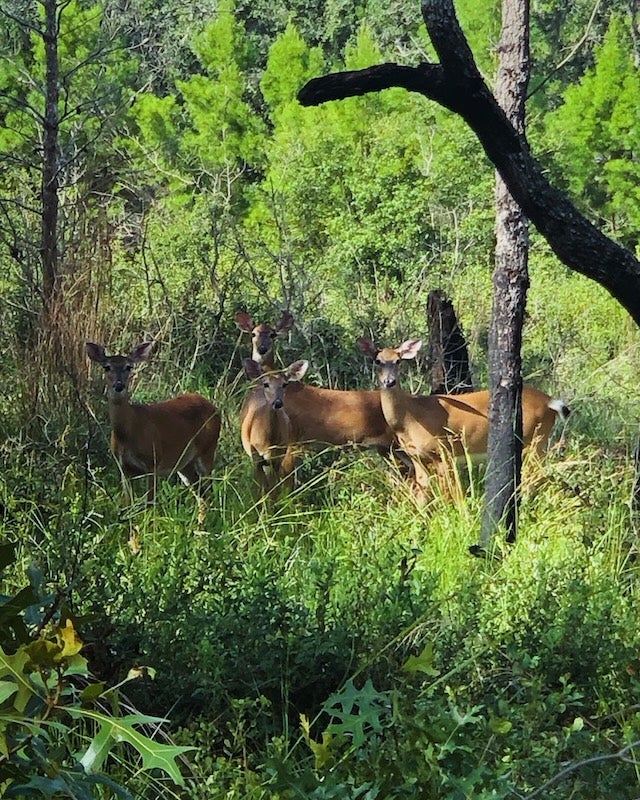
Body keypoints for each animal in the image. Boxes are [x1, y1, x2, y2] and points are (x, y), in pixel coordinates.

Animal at [86, 342, 221, 523]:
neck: (128, 433)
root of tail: (213, 407)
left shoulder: (153, 462)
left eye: (129, 366)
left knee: (210, 490)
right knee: (202, 493)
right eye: (107, 367)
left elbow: (150, 503)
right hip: (184, 463)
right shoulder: (124, 468)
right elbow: (127, 506)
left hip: (208, 449)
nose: (119, 386)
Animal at [241, 358, 308, 497]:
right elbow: (261, 488)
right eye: (266, 384)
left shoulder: (277, 457)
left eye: (285, 384)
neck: (268, 441)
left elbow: (274, 490)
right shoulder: (256, 457)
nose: (277, 403)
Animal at [358, 337, 570, 496]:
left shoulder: (443, 452)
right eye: (377, 361)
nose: (389, 381)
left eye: (398, 360)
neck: (409, 419)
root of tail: (550, 402)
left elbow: (450, 495)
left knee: (536, 475)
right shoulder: (417, 458)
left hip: (534, 440)